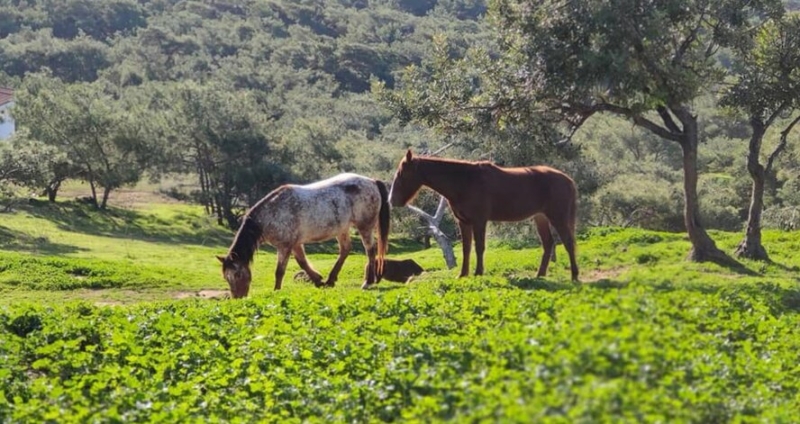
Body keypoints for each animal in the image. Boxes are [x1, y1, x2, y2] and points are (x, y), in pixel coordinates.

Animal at [217, 172, 392, 298]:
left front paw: (276, 291)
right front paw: (318, 280)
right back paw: (330, 280)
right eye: (226, 277)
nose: (238, 297)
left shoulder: (285, 246)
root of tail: (371, 181)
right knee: (345, 250)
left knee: (370, 250)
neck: (272, 213)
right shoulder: (295, 244)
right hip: (342, 229)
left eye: (237, 274)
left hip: (365, 226)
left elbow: (279, 271)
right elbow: (302, 263)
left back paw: (368, 282)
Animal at [390, 150, 580, 282]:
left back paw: (574, 276)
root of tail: (569, 180)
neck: (464, 181)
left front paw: (478, 272)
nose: (392, 200)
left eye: (401, 174)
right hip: (540, 217)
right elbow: (466, 248)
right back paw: (539, 275)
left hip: (558, 217)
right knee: (548, 244)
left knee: (568, 243)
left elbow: (479, 247)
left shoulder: (479, 221)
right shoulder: (464, 222)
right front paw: (463, 274)